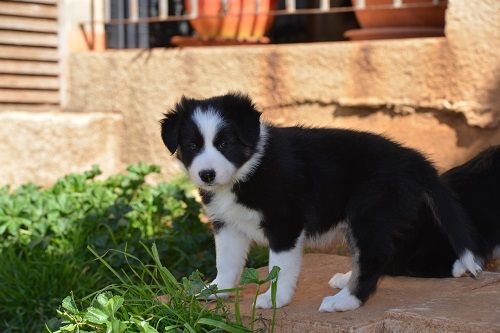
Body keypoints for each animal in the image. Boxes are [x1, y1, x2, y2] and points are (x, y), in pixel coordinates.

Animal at [161, 92, 484, 312]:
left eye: (224, 143)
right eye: (192, 145)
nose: (207, 174)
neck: (247, 170)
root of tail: (413, 159)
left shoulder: (285, 224)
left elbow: (280, 268)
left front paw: (274, 300)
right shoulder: (227, 224)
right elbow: (226, 262)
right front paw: (217, 291)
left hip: (368, 212)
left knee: (376, 256)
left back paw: (346, 300)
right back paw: (347, 281)